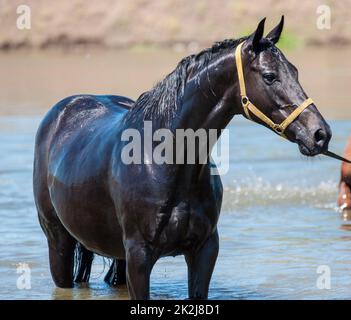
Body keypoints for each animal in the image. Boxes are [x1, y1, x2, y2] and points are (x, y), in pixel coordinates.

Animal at [33, 17, 332, 298]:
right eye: (270, 76)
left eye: (294, 71)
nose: (320, 134)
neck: (167, 161)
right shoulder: (139, 257)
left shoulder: (204, 251)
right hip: (59, 242)